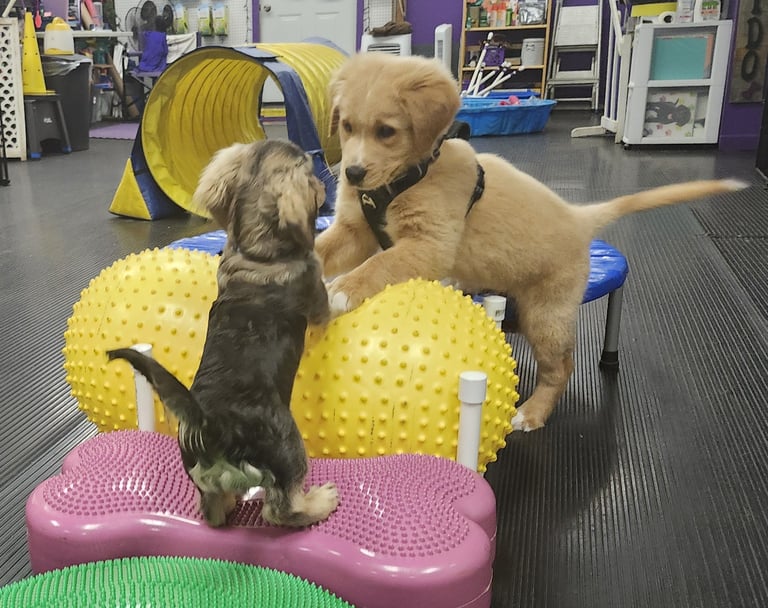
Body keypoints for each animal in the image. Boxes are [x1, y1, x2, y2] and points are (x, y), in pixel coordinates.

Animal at [109, 139, 339, 527]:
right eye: (309, 170)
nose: (324, 185)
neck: (256, 252)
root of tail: (211, 425)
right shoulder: (317, 295)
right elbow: (333, 303)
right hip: (288, 448)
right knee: (280, 509)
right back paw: (319, 502)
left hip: (204, 480)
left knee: (213, 511)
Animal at [314, 52, 746, 432]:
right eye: (347, 126)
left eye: (386, 131)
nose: (351, 173)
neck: (406, 177)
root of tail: (579, 217)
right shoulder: (354, 230)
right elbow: (324, 249)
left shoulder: (430, 243)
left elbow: (379, 264)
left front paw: (343, 289)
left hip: (547, 316)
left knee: (562, 368)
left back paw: (533, 413)